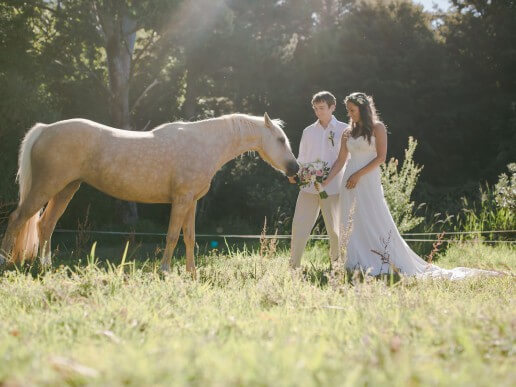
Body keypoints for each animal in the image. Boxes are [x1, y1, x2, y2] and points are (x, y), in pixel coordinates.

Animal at [1, 111, 298, 276]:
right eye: (281, 139)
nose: (295, 168)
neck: (204, 142)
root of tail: (44, 129)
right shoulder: (181, 200)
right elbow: (171, 236)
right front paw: (166, 271)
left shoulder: (190, 202)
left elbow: (189, 238)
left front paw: (191, 272)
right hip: (46, 187)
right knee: (17, 219)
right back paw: (6, 262)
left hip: (65, 189)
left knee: (45, 224)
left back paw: (46, 266)